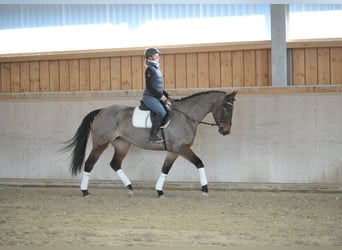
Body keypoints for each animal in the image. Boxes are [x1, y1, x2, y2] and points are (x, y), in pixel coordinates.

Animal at [62, 90, 236, 197]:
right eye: (226, 109)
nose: (226, 131)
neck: (185, 116)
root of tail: (102, 110)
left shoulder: (174, 151)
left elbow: (165, 169)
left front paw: (159, 191)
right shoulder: (181, 148)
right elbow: (199, 163)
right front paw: (205, 189)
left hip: (122, 144)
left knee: (115, 164)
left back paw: (130, 188)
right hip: (101, 143)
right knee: (89, 164)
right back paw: (85, 192)